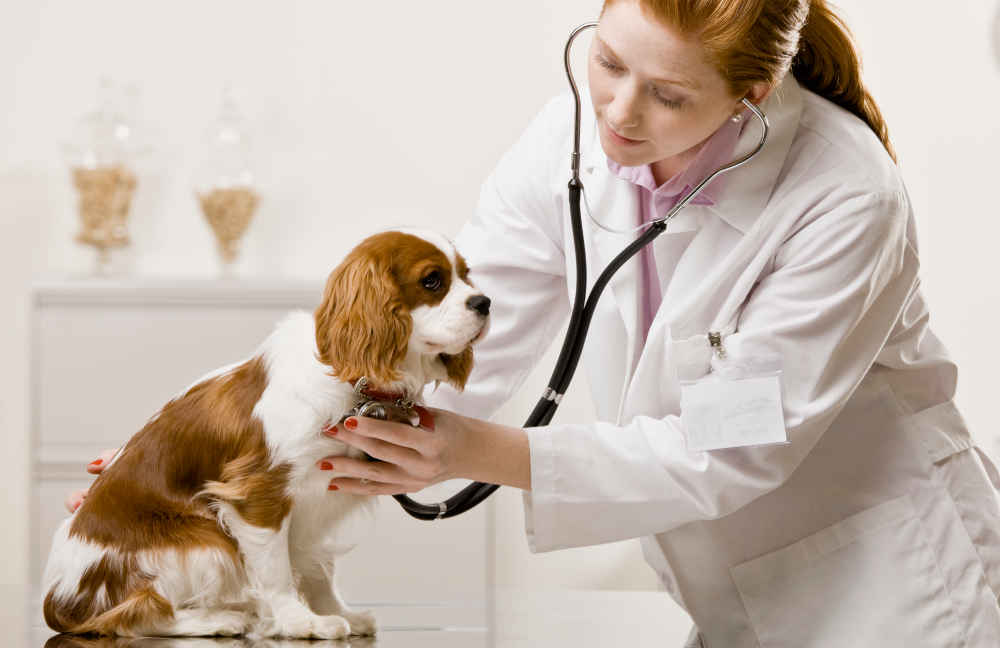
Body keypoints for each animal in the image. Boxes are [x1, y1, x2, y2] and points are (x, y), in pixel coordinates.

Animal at [41, 229, 490, 636]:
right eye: (431, 281)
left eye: (468, 275)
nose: (485, 302)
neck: (352, 379)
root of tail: (59, 597)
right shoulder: (259, 493)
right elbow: (277, 574)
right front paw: (300, 622)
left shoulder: (319, 503)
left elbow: (318, 568)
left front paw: (335, 612)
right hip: (203, 539)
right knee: (138, 613)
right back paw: (219, 619)